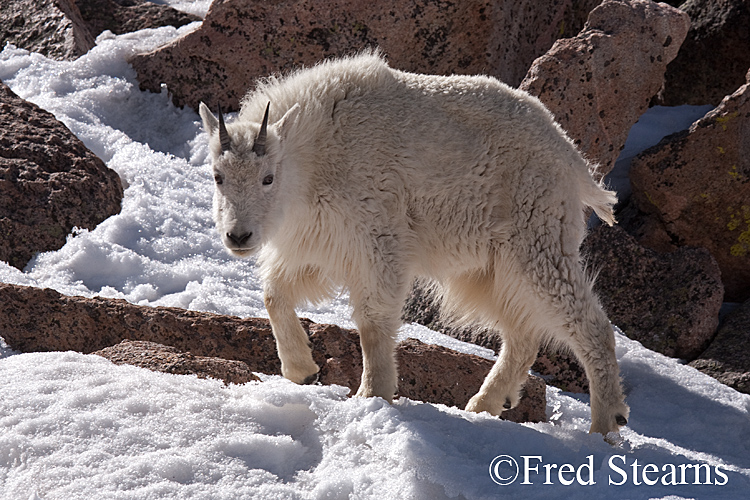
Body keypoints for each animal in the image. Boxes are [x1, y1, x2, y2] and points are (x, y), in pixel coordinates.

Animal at [198, 49, 628, 434]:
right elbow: (274, 294)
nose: (238, 236)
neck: (312, 157)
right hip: (488, 265)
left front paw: (373, 394)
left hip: (537, 238)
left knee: (588, 322)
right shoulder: (318, 243)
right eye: (218, 176)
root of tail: (572, 158)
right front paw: (302, 371)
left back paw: (607, 422)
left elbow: (373, 320)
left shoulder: (378, 235)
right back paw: (485, 404)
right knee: (523, 334)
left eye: (267, 177)